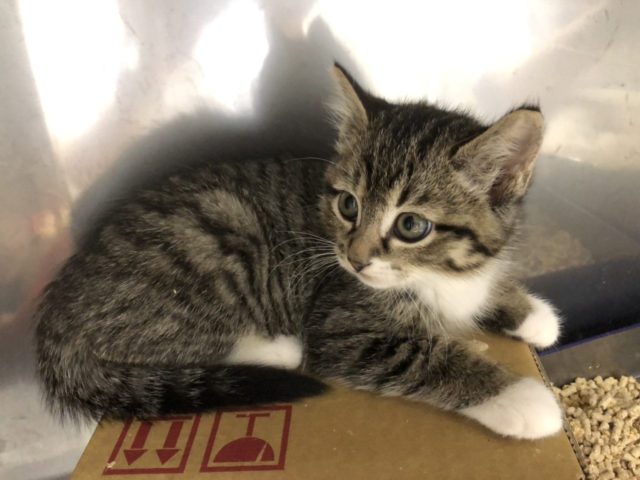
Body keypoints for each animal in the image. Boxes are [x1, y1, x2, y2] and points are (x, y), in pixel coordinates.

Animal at [35, 64, 563, 440]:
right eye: (348, 205)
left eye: (411, 225)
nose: (354, 258)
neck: (437, 277)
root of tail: (57, 313)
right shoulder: (341, 327)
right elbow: (423, 357)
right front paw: (523, 400)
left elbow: (490, 289)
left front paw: (532, 314)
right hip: (213, 240)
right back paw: (277, 348)